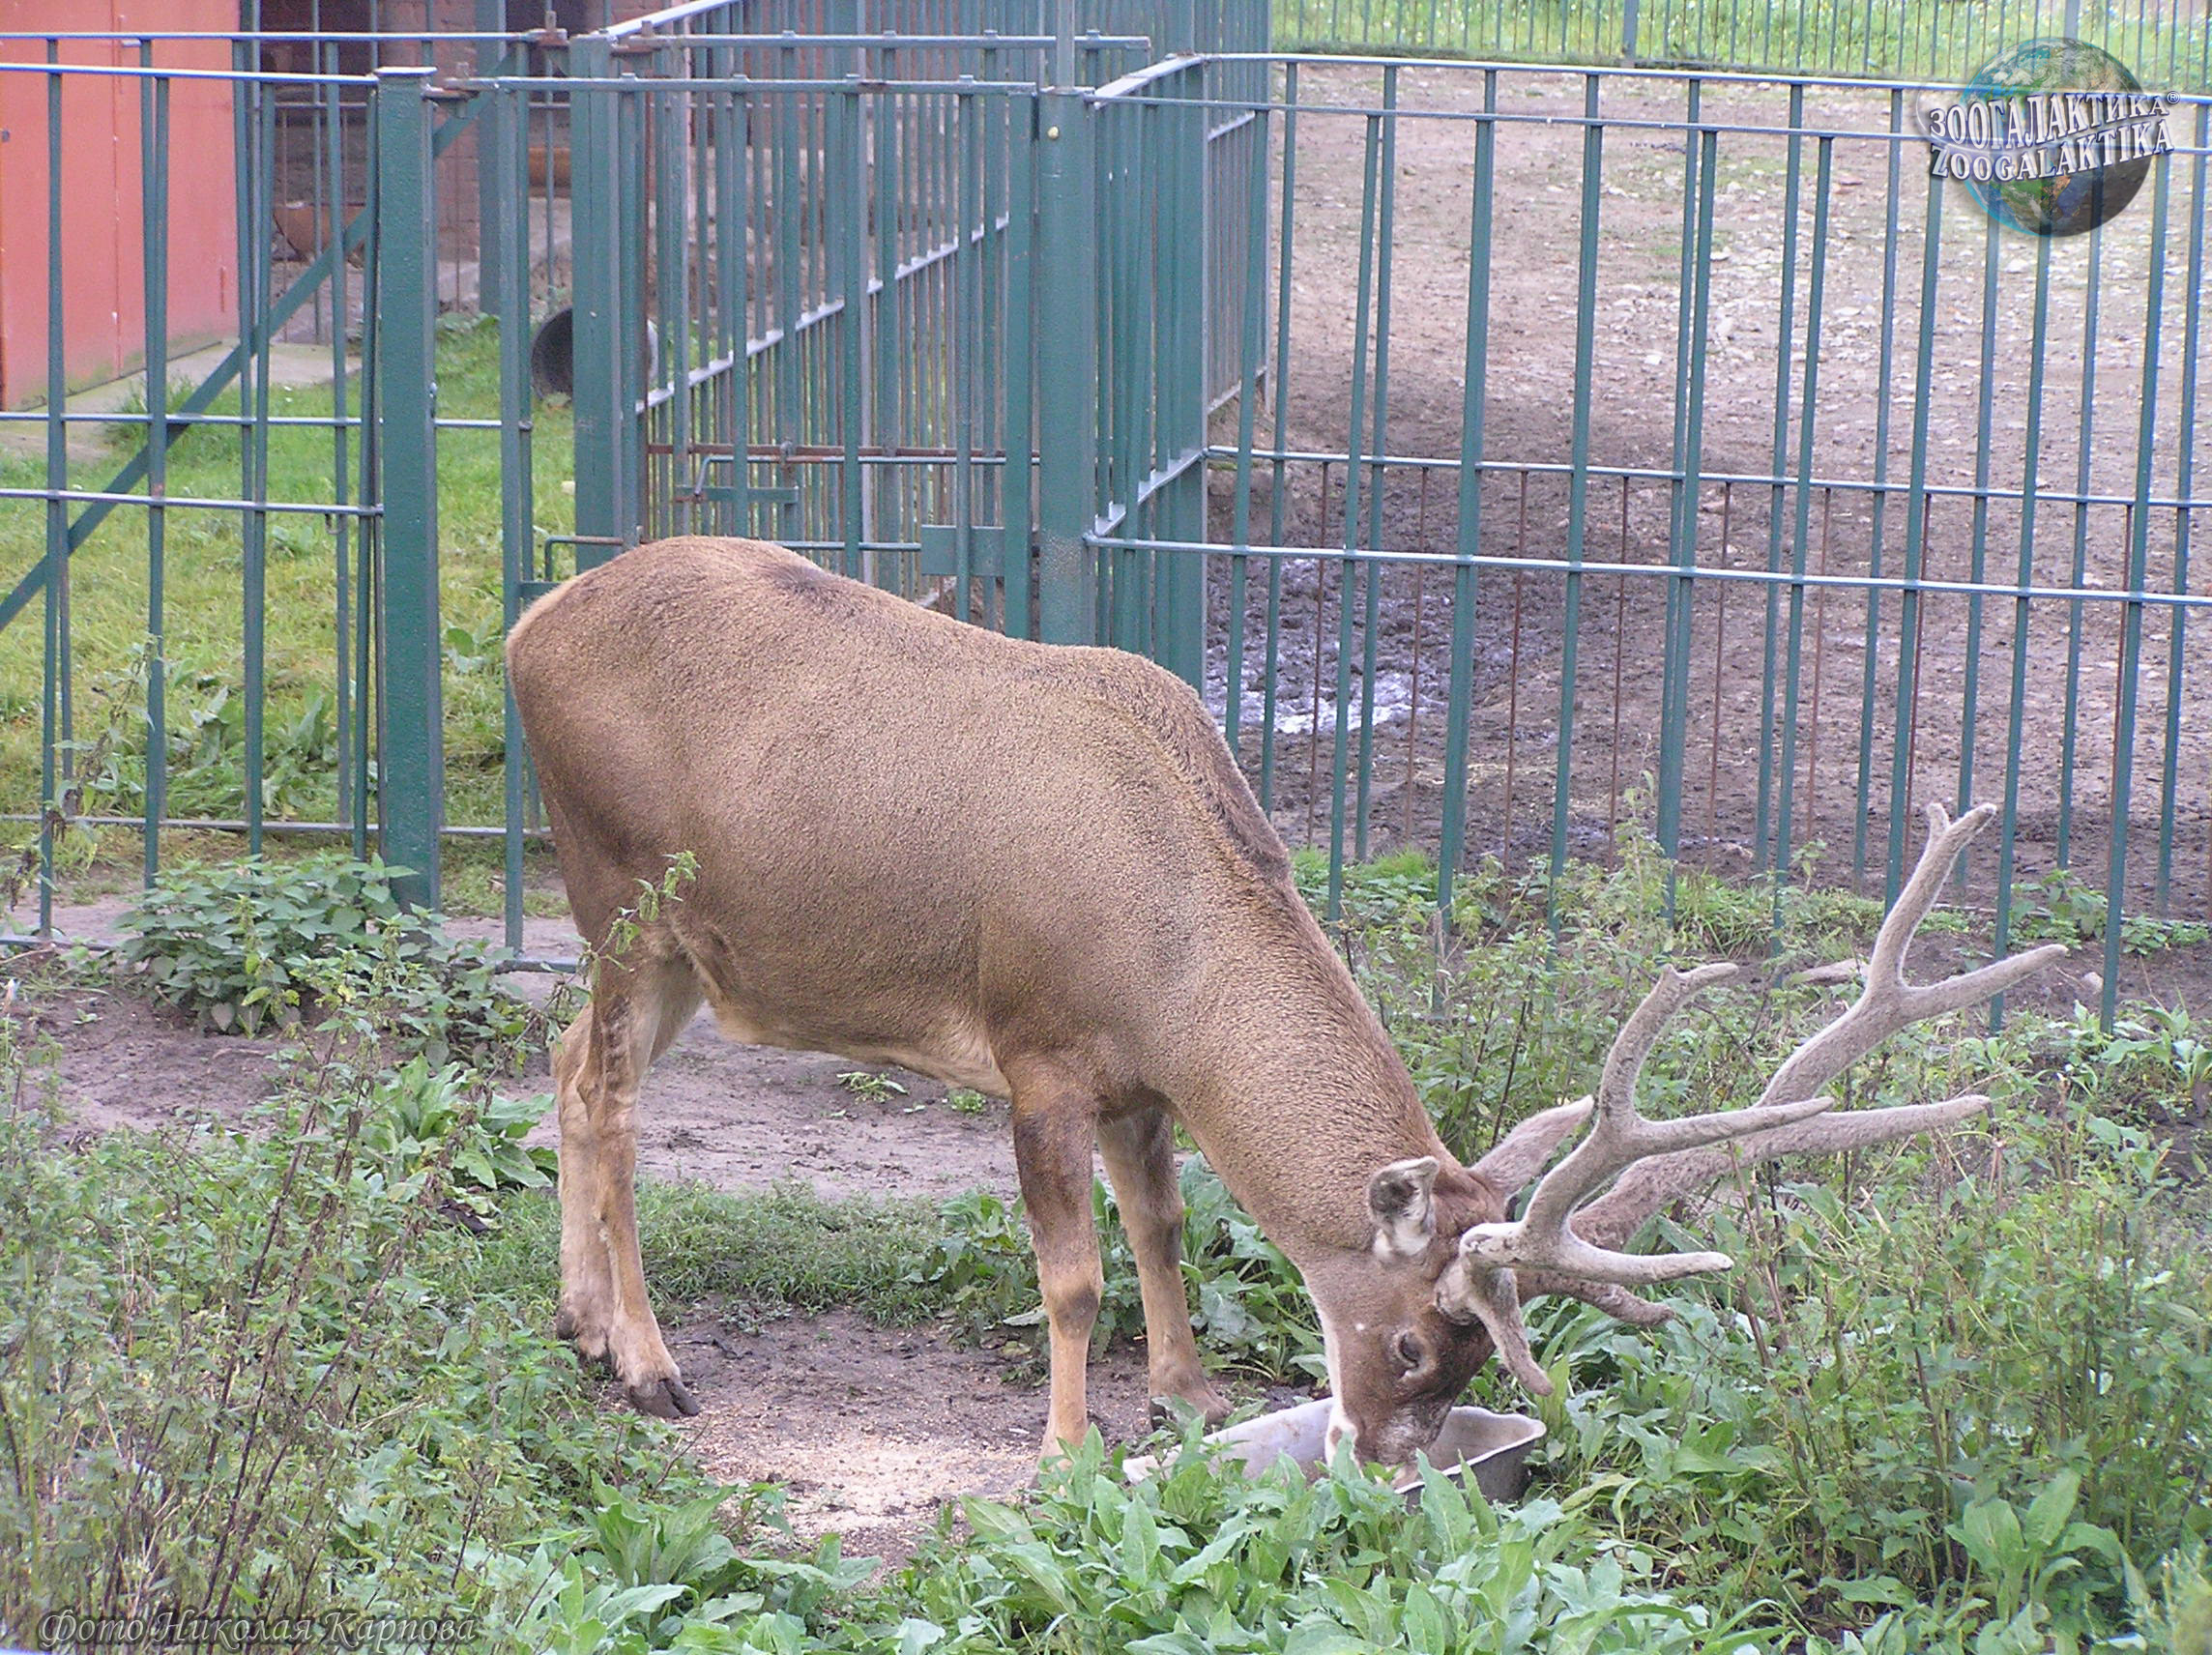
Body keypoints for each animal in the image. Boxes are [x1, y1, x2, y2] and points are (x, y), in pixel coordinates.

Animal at [506, 535, 2064, 1466]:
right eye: (1418, 1340)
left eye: (1465, 1359)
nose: (1378, 1460)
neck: (1171, 961)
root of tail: (525, 624)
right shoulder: (1036, 1045)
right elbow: (1071, 1275)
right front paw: (1067, 1446)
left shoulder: (1139, 1082)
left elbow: (1165, 1226)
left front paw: (1189, 1397)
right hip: (625, 890)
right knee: (607, 1094)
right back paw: (650, 1363)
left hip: (692, 952)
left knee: (565, 1067)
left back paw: (579, 1324)